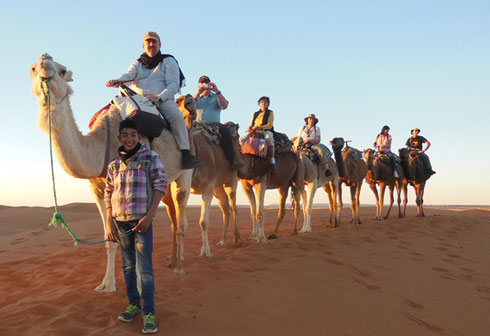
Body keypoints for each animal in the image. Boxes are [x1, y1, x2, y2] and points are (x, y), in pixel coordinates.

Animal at [29, 53, 192, 292]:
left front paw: (140, 286)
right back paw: (173, 261)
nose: (44, 60)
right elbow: (110, 239)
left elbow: (136, 234)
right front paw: (106, 284)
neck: (103, 144)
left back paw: (180, 268)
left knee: (181, 218)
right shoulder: (98, 189)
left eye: (62, 70)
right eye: (32, 69)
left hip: (185, 171)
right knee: (175, 217)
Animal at [175, 94, 242, 255]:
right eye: (177, 101)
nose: (189, 98)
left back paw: (237, 238)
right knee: (226, 210)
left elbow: (203, 222)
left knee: (234, 207)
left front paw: (205, 251)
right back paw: (223, 240)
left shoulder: (208, 187)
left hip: (231, 181)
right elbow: (180, 223)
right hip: (218, 188)